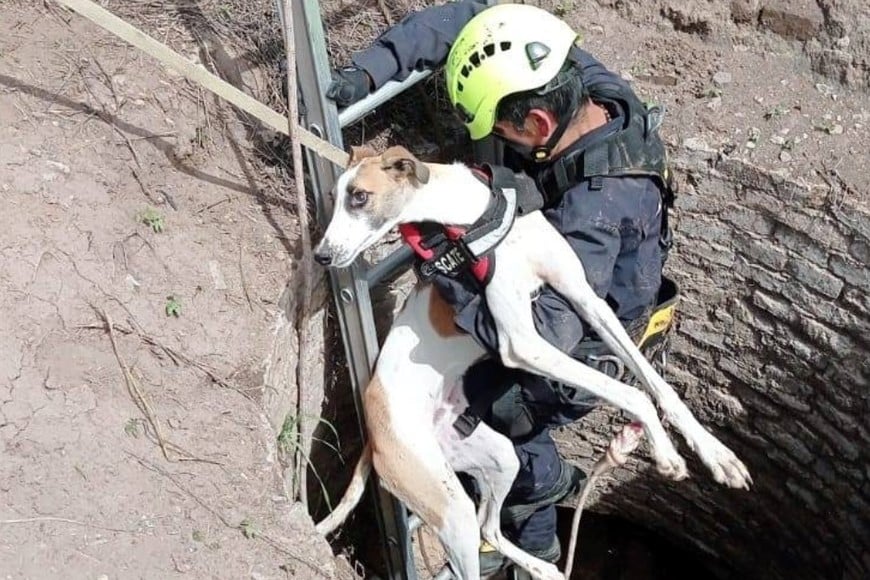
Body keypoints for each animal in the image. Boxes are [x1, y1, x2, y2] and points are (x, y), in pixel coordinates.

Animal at [312, 146, 748, 580]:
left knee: (490, 525)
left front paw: (716, 455)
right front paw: (666, 453)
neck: (476, 218)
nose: (320, 256)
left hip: (498, 456)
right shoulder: (522, 342)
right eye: (334, 198)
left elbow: (656, 385)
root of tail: (372, 434)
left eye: (359, 197)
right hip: (448, 506)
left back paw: (544, 568)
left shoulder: (584, 297)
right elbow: (631, 393)